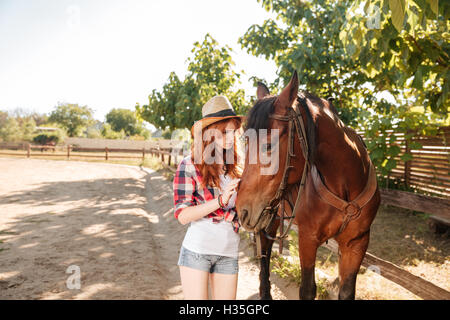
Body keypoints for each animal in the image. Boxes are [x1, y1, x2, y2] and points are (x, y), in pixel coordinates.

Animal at [236, 70, 380, 300]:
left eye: (268, 145)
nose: (242, 209)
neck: (345, 185)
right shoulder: (308, 239)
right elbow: (307, 289)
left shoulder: (357, 243)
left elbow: (347, 292)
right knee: (264, 249)